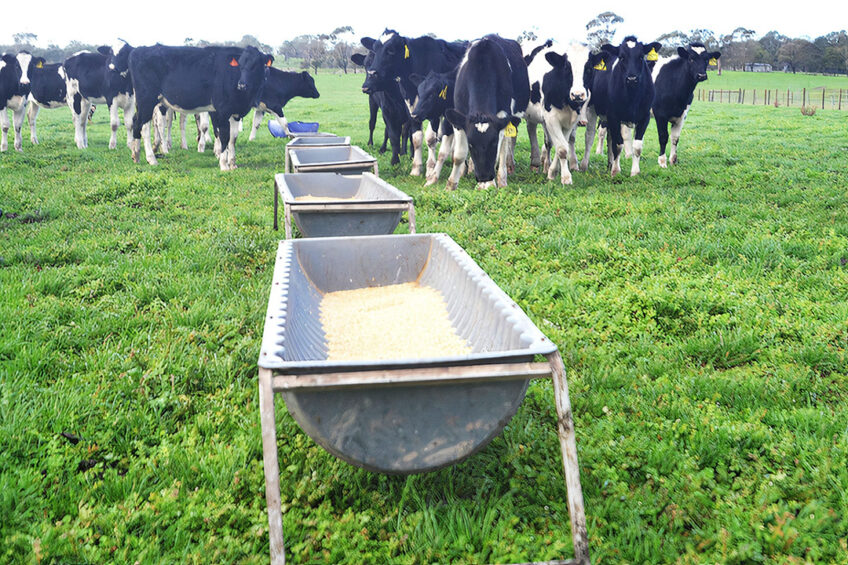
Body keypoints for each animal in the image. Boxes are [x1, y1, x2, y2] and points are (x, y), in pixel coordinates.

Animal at [127, 44, 272, 170]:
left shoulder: (235, 113)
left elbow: (233, 138)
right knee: (144, 126)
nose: (242, 84)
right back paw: (151, 159)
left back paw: (136, 155)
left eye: (255, 65)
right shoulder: (222, 111)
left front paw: (233, 164)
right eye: (240, 65)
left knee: (136, 122)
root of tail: (139, 50)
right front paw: (224, 165)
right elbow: (224, 136)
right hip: (146, 100)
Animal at [360, 28, 468, 177]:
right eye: (375, 49)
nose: (371, 74)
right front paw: (416, 168)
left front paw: (430, 169)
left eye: (391, 50)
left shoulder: (433, 110)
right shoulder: (412, 110)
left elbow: (430, 138)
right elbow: (415, 138)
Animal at [444, 35, 528, 191]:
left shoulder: (502, 116)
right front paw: (451, 184)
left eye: (493, 142)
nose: (483, 177)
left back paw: (503, 177)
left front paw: (489, 184)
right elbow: (459, 155)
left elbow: (499, 152)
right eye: (471, 144)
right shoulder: (459, 116)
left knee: (505, 148)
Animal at [592, 36, 660, 176]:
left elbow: (637, 147)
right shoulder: (613, 116)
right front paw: (616, 171)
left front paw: (635, 172)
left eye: (641, 57)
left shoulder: (644, 117)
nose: (632, 78)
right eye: (622, 57)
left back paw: (609, 164)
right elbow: (618, 144)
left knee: (610, 139)